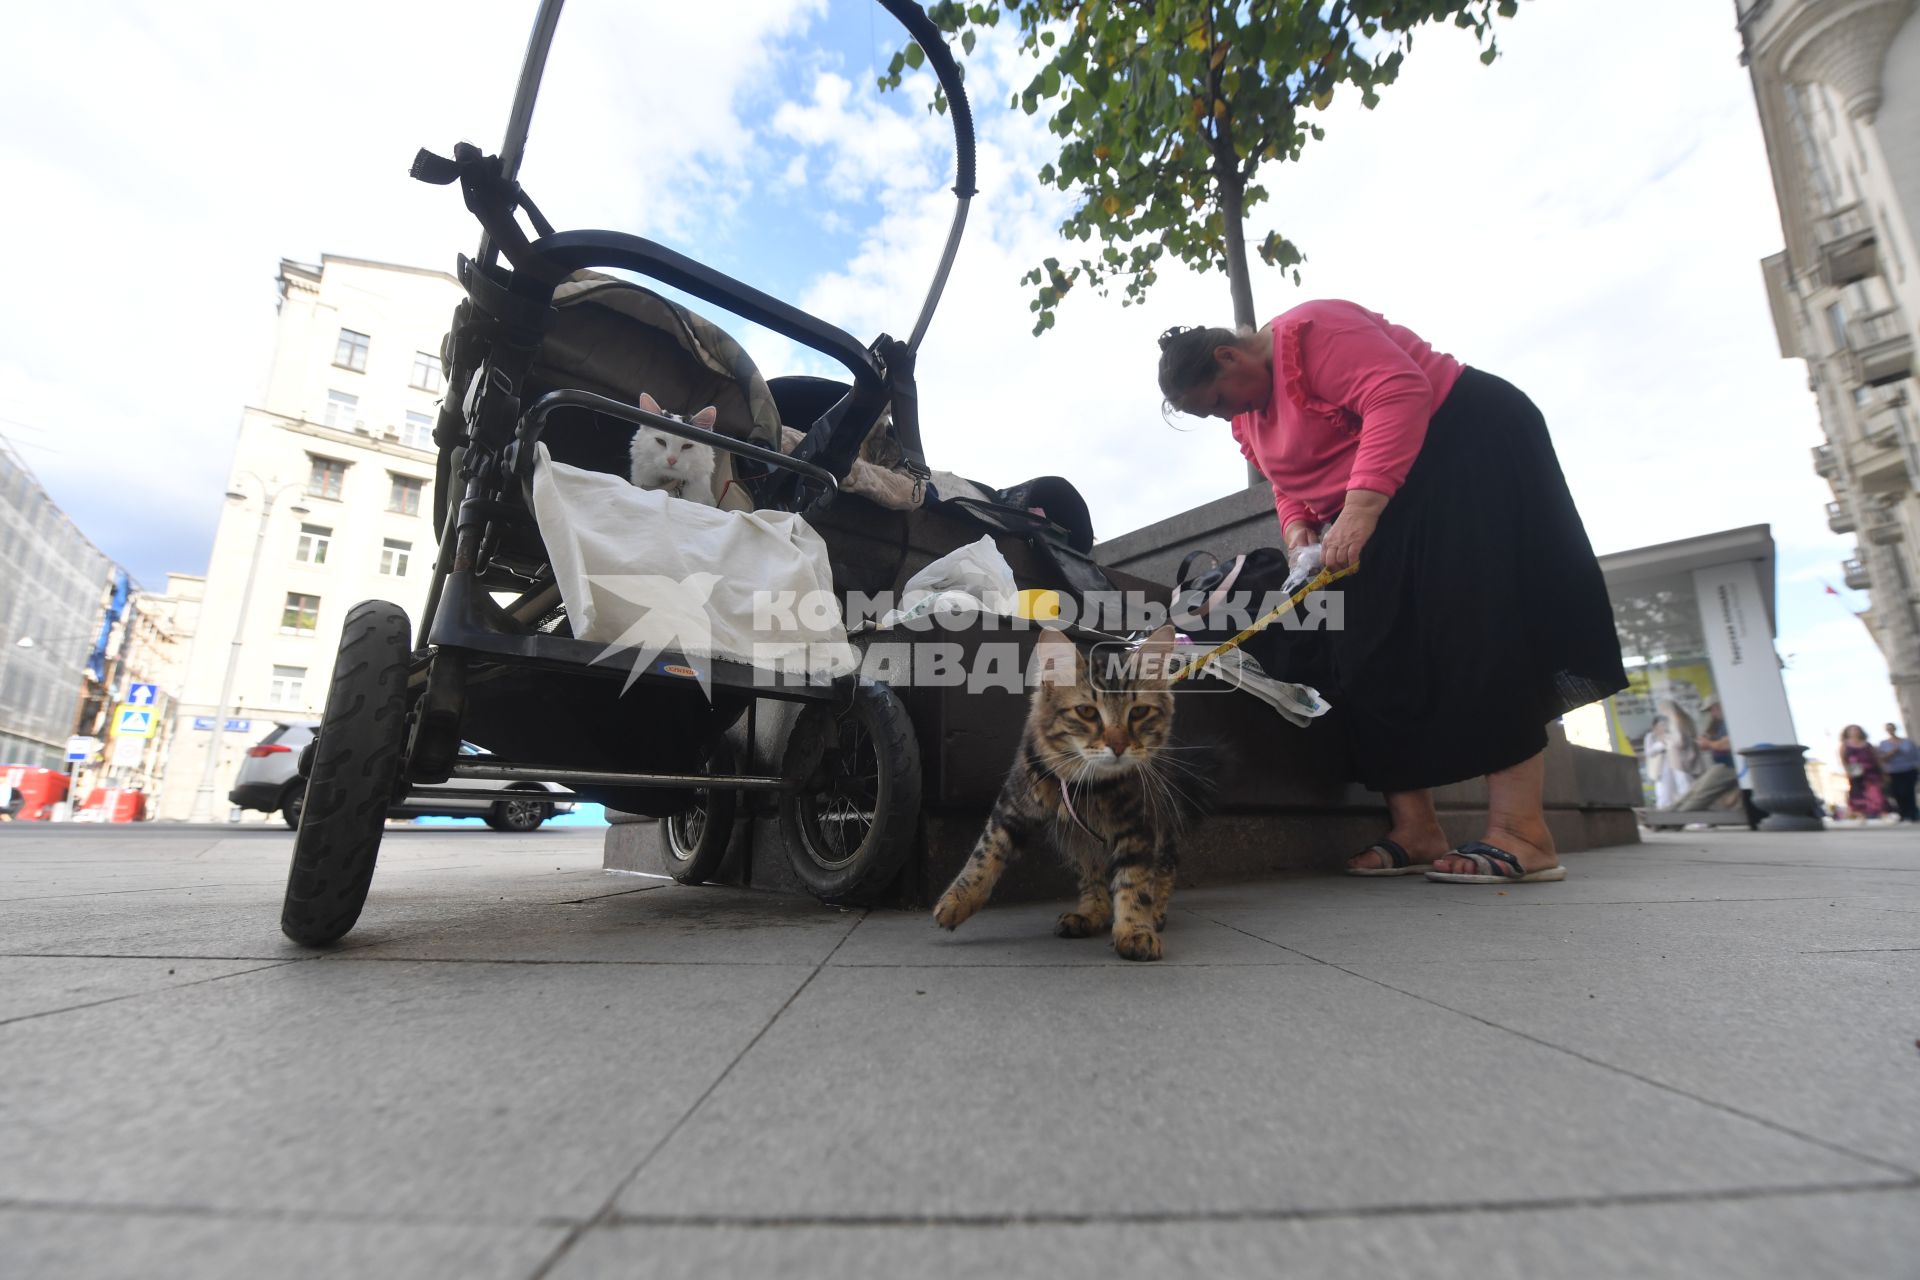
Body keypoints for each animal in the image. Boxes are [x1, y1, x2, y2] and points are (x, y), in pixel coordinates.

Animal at [929, 621, 1198, 959]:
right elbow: (984, 855)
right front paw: (956, 902)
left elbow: (1134, 883)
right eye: (1087, 712)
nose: (1118, 746)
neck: (1087, 785)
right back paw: (1088, 914)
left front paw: (1135, 931)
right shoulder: (1013, 805)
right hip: (1075, 840)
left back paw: (1156, 913)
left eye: (1138, 713)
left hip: (1161, 819)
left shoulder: (1139, 826)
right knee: (1093, 878)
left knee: (1164, 869)